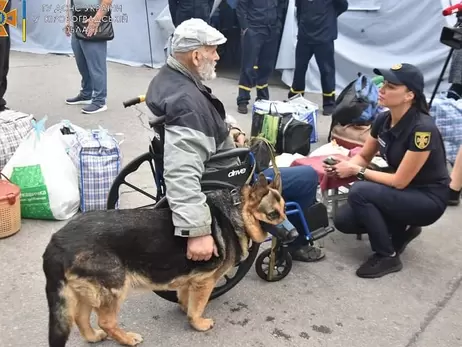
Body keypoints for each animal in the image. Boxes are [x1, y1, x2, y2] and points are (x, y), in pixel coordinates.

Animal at [43, 173, 286, 346]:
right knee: (106, 321)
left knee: (79, 317)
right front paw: (198, 323)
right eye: (273, 214)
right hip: (114, 288)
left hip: (87, 292)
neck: (237, 211)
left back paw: (93, 336)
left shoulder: (192, 280)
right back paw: (127, 339)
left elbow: (186, 299)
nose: (292, 235)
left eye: (284, 211)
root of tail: (57, 240)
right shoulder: (205, 281)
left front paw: (185, 310)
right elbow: (198, 307)